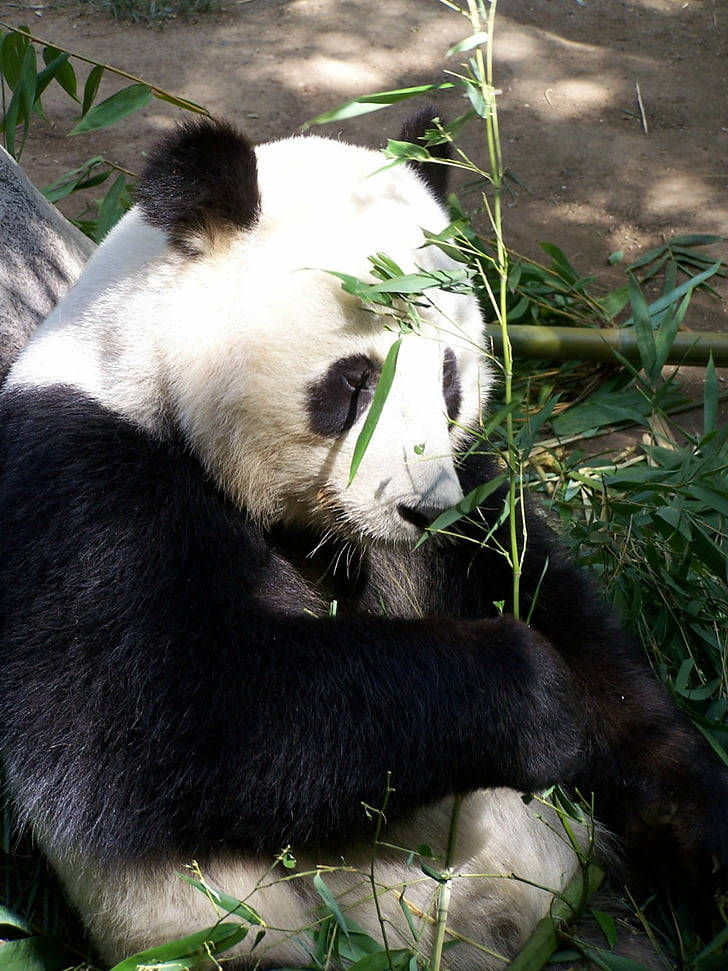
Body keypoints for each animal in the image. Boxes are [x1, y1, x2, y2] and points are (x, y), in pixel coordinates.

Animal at [0, 110, 724, 968]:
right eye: (353, 382)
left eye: (449, 378)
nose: (420, 509)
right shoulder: (84, 488)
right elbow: (181, 716)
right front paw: (533, 698)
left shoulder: (469, 499)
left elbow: (577, 632)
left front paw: (696, 822)